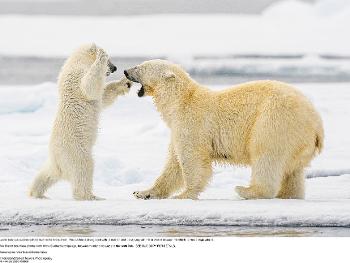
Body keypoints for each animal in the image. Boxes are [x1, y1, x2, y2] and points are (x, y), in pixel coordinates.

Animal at [29, 43, 131, 200]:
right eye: (109, 58)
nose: (115, 68)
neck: (77, 61)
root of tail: (59, 161)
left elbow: (102, 96)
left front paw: (125, 83)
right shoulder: (77, 74)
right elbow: (89, 87)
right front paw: (100, 56)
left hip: (55, 161)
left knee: (46, 174)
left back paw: (36, 193)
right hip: (75, 150)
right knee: (84, 168)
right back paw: (91, 196)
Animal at [124, 59, 324, 200]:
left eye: (140, 67)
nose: (125, 71)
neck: (180, 102)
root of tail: (317, 123)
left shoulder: (192, 124)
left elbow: (192, 160)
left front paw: (184, 195)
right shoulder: (177, 129)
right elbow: (173, 164)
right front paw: (143, 192)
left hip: (276, 121)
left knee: (267, 155)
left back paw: (246, 190)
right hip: (298, 140)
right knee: (294, 171)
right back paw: (288, 195)